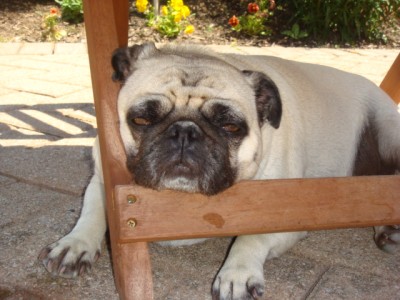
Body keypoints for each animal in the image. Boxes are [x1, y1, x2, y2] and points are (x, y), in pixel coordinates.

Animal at [38, 44, 400, 300]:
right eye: (141, 119)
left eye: (230, 127)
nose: (185, 132)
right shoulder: (103, 174)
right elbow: (94, 208)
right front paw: (76, 243)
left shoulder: (288, 209)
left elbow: (253, 235)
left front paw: (237, 271)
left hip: (388, 134)